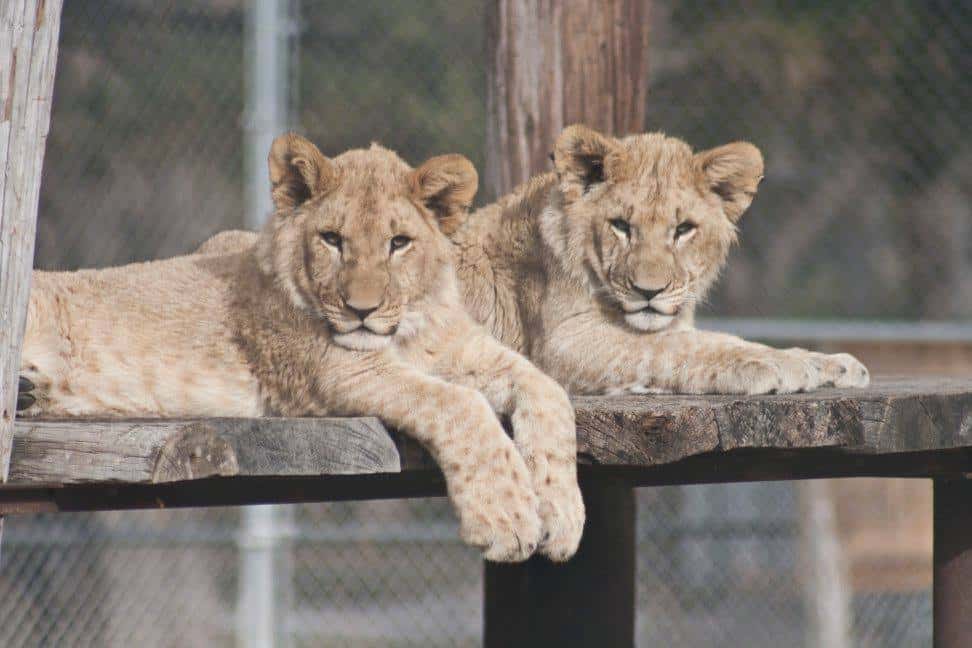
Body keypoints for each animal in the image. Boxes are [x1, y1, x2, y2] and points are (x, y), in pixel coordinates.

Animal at [17, 133, 584, 560]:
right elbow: (460, 406)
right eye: (332, 239)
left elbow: (550, 393)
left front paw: (562, 516)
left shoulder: (468, 353)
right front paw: (508, 519)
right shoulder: (338, 374)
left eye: (399, 243)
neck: (409, 329)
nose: (361, 309)